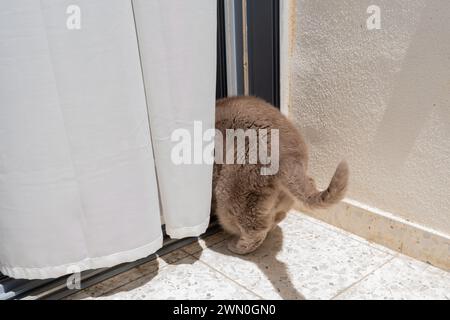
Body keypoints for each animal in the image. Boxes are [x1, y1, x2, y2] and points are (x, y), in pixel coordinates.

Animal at [212, 95, 348, 255]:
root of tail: (288, 155)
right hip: (282, 196)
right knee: (275, 217)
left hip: (230, 192)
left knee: (255, 229)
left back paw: (236, 247)